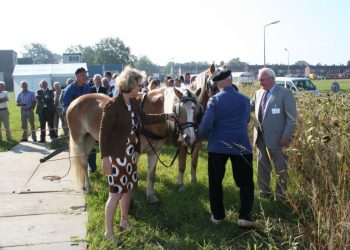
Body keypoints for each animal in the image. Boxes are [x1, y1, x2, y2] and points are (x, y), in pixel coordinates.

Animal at [66, 87, 201, 203]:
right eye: (179, 110)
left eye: (196, 110)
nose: (190, 138)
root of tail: (75, 101)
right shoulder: (133, 153)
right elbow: (130, 174)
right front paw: (129, 200)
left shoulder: (155, 151)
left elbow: (151, 174)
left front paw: (151, 195)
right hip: (79, 140)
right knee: (83, 163)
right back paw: (89, 188)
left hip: (89, 139)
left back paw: (85, 184)